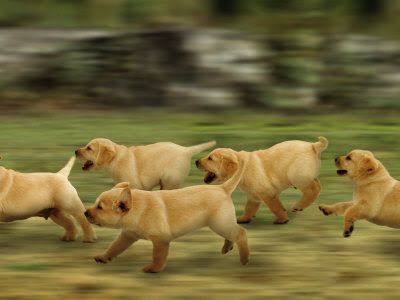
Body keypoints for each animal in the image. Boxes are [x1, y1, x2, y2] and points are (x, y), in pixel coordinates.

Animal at [76, 138, 217, 190]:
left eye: (89, 148)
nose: (75, 151)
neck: (116, 158)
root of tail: (186, 150)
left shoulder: (134, 186)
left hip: (170, 180)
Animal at [195, 137, 328, 224]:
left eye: (210, 158)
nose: (196, 161)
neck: (242, 168)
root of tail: (313, 145)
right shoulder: (252, 196)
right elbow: (249, 208)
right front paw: (244, 218)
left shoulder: (268, 193)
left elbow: (275, 207)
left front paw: (281, 219)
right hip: (306, 176)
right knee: (317, 186)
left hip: (297, 175)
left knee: (312, 190)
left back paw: (298, 206)